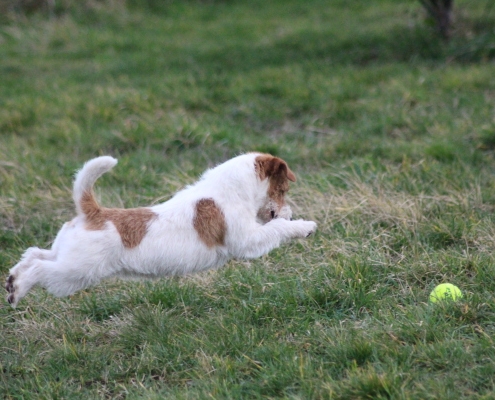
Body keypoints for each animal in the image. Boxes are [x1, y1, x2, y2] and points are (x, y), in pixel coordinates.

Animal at [4, 152, 318, 306]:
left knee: (34, 254)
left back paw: (11, 280)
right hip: (75, 272)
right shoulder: (247, 240)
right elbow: (277, 228)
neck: (229, 189)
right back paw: (17, 290)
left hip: (66, 257)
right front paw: (304, 226)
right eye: (283, 189)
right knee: (40, 269)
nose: (290, 210)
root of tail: (92, 212)